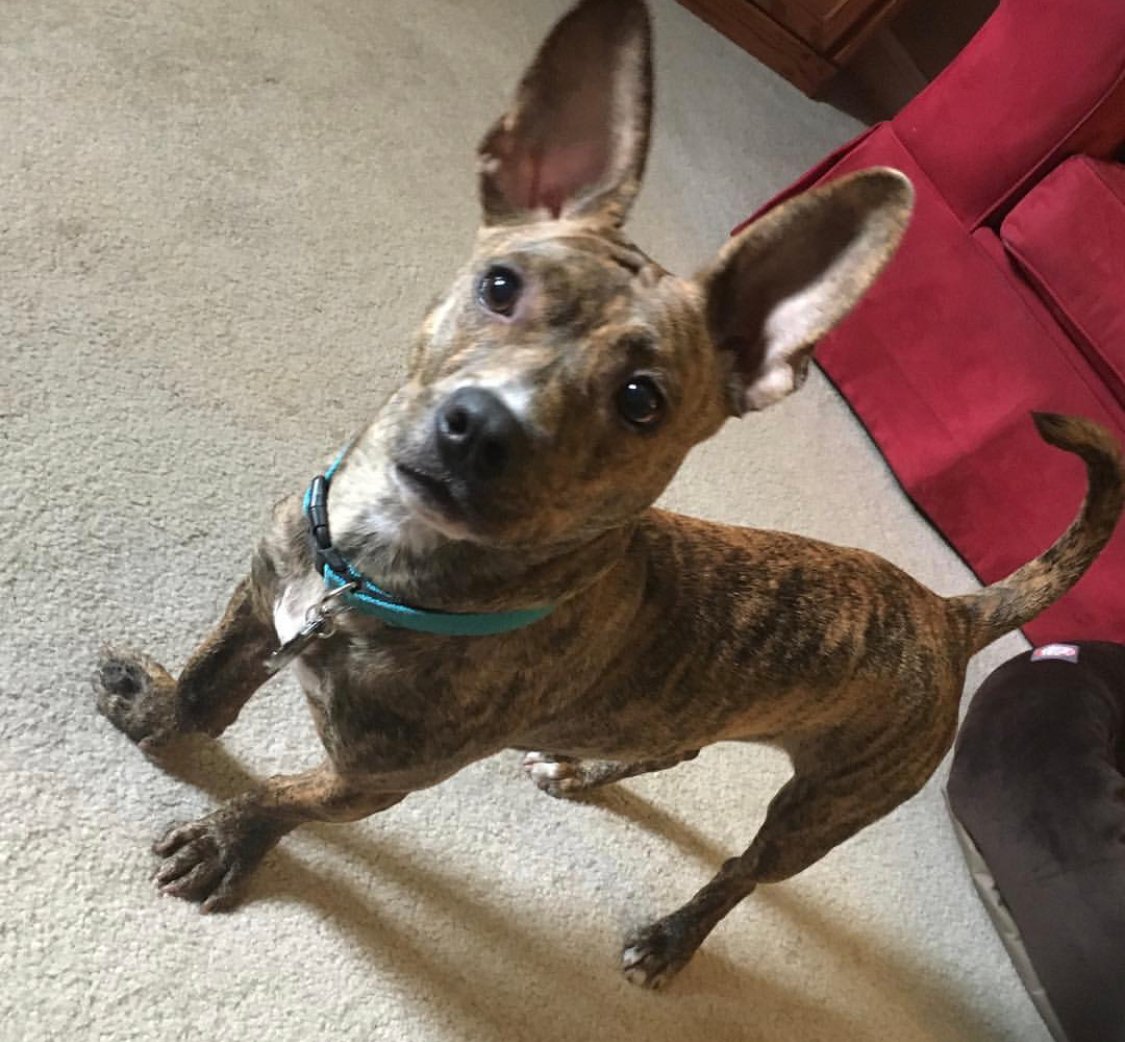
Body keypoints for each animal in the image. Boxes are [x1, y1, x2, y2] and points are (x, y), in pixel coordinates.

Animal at [99, 0, 1125, 994]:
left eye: (641, 400)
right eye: (500, 284)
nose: (480, 425)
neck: (372, 568)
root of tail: (950, 612)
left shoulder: (373, 777)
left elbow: (283, 795)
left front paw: (226, 839)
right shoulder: (257, 602)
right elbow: (207, 684)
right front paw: (162, 716)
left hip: (820, 808)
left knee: (739, 874)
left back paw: (671, 939)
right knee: (679, 744)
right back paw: (587, 769)